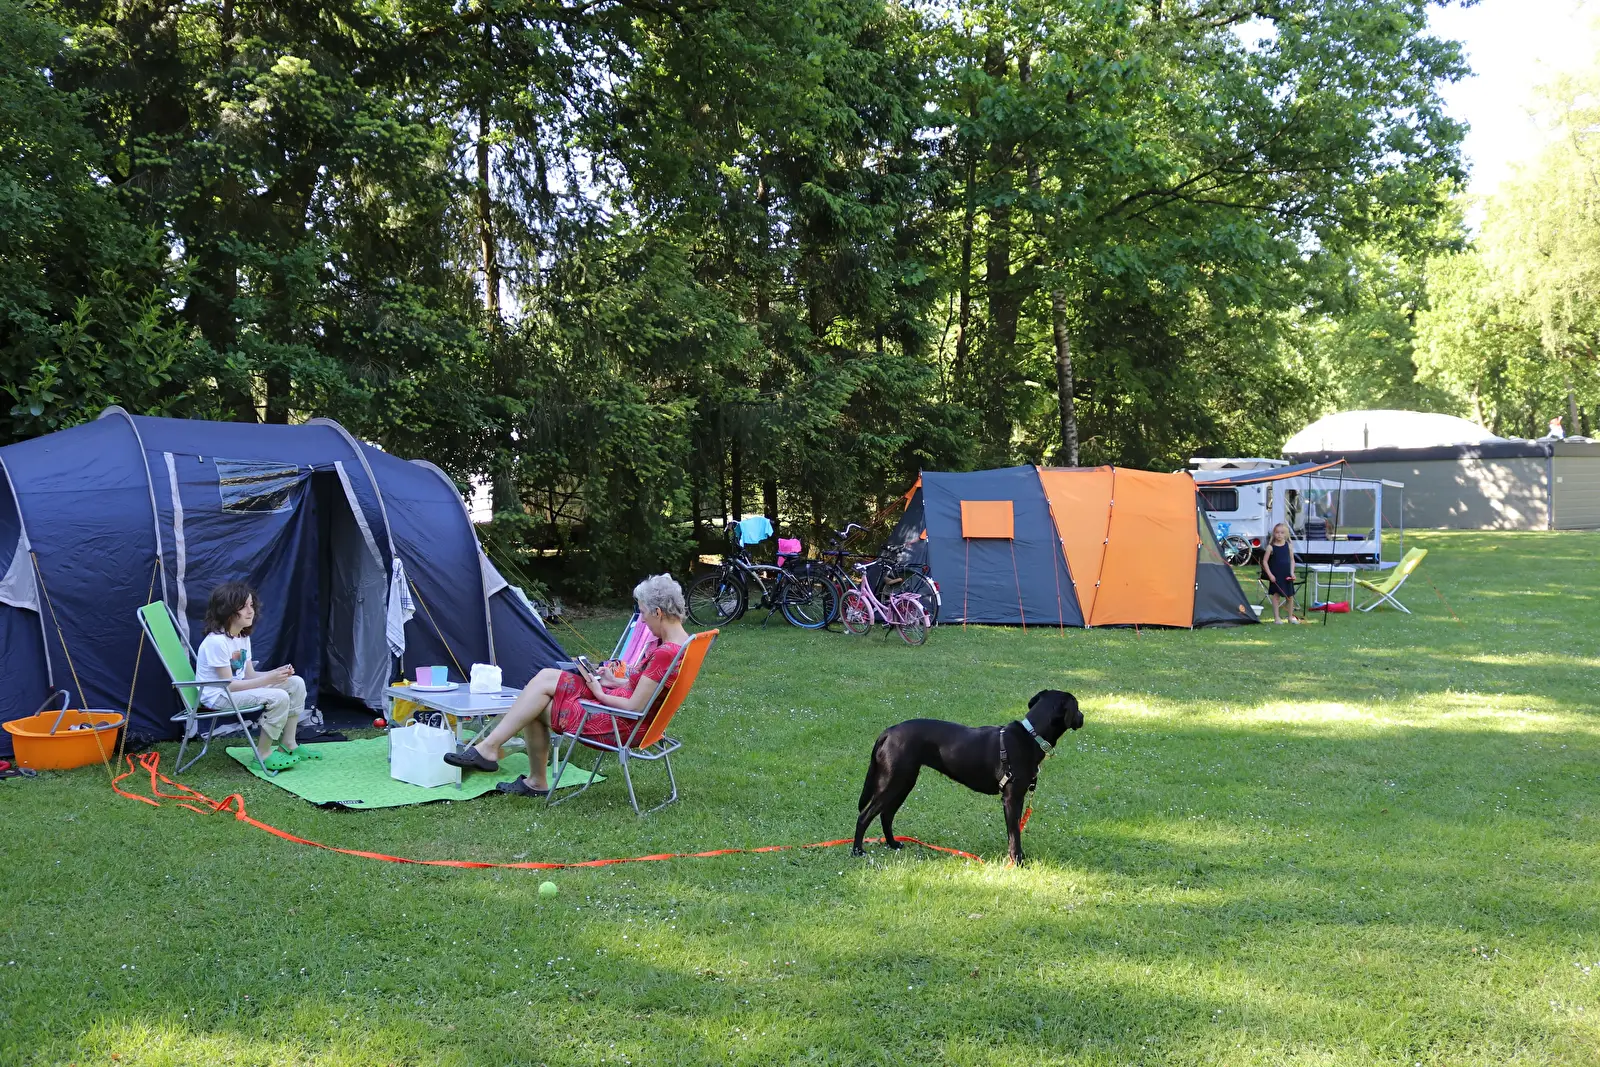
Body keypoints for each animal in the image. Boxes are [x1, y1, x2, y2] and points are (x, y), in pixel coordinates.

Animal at [852, 690, 1083, 866]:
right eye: (1078, 706)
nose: (1083, 717)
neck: (1032, 735)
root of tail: (888, 732)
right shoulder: (1011, 798)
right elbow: (1015, 834)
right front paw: (1017, 861)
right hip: (892, 782)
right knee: (864, 816)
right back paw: (857, 851)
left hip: (904, 783)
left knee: (886, 815)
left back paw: (893, 844)